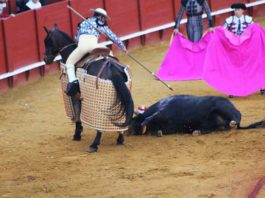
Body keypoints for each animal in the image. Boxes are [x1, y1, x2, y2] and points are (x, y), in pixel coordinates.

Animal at [44, 24, 134, 152]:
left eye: (46, 41)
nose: (45, 59)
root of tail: (112, 68)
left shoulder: (75, 95)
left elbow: (77, 113)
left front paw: (77, 134)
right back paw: (120, 139)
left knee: (100, 125)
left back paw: (94, 145)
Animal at [128, 94, 264, 136]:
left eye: (132, 122)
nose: (127, 132)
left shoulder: (162, 111)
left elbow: (150, 118)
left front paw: (144, 124)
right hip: (215, 124)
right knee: (217, 128)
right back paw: (197, 131)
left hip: (222, 106)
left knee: (234, 120)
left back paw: (233, 122)